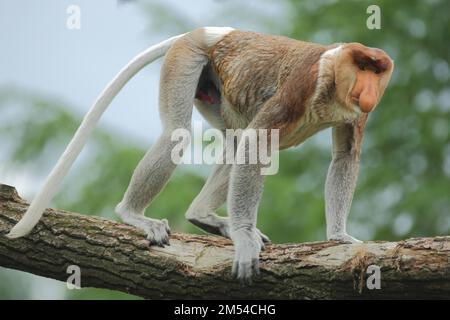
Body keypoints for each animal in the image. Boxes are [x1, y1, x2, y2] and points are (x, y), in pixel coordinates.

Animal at [7, 27, 394, 282]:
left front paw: (339, 236)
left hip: (214, 88)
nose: (370, 90)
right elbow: (257, 141)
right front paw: (243, 236)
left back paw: (203, 216)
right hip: (188, 57)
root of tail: (208, 31)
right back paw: (133, 214)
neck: (334, 77)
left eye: (378, 71)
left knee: (235, 144)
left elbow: (345, 156)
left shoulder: (357, 114)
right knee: (178, 134)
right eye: (363, 67)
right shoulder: (303, 83)